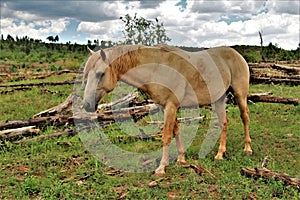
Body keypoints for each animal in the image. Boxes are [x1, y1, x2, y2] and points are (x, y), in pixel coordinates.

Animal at [81, 43, 252, 175]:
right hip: (219, 99)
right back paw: (220, 154)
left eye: (101, 73)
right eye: (86, 75)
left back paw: (247, 149)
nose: (87, 105)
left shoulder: (171, 106)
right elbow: (175, 132)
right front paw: (181, 159)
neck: (157, 68)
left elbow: (166, 136)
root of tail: (236, 54)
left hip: (240, 95)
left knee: (245, 118)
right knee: (224, 123)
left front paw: (161, 168)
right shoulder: (167, 107)